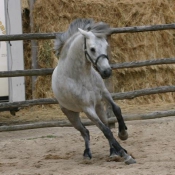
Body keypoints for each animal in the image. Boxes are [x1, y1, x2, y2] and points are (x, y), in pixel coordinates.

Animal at [51, 18, 136, 165]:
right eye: (92, 49)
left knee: (103, 124)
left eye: (106, 45)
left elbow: (116, 109)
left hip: (99, 107)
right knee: (85, 132)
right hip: (71, 115)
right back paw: (87, 154)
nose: (107, 72)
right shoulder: (87, 108)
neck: (81, 77)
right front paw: (126, 156)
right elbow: (106, 131)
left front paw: (123, 134)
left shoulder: (104, 94)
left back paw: (113, 152)